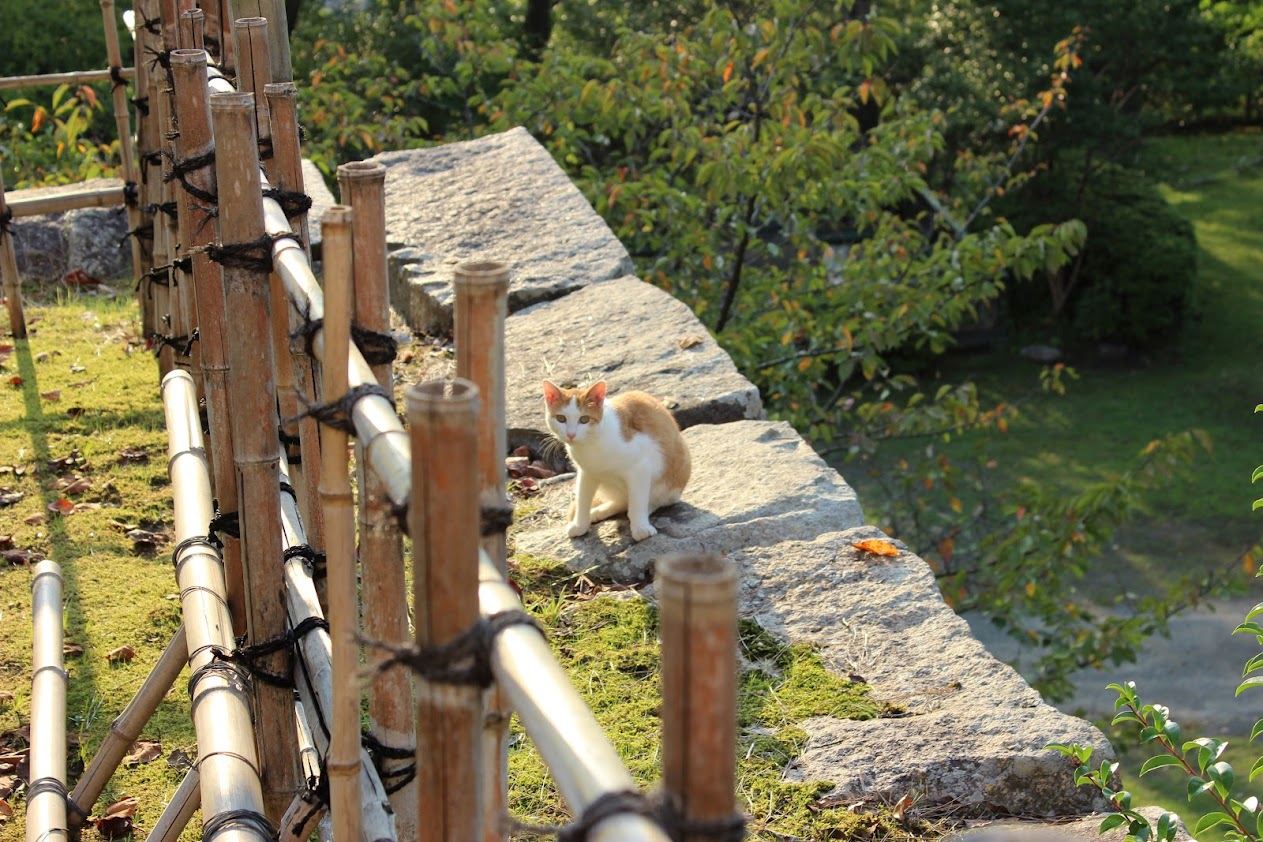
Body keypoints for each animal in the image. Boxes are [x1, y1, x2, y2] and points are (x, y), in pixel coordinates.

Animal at [543, 381, 692, 542]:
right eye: (561, 418)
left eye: (584, 419)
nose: (571, 434)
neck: (592, 443)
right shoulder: (586, 473)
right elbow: (582, 499)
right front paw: (580, 525)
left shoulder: (641, 467)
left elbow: (638, 502)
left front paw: (640, 527)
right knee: (622, 501)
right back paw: (599, 511)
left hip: (671, 481)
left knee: (650, 501)